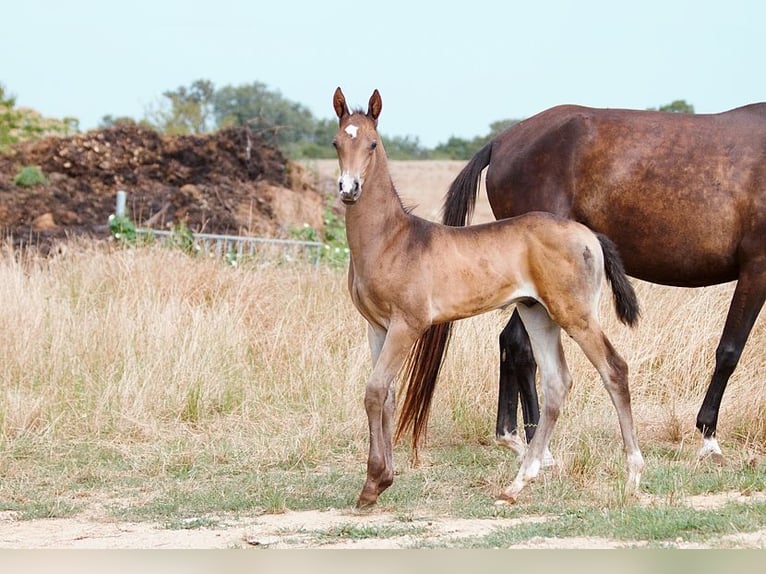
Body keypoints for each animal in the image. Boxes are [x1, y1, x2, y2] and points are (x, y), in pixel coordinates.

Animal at [332, 88, 644, 510]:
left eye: (372, 144)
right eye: (337, 142)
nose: (349, 189)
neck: (391, 239)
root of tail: (589, 235)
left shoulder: (407, 324)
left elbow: (375, 390)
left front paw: (373, 483)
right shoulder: (377, 326)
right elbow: (387, 395)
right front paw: (380, 479)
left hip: (575, 314)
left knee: (614, 369)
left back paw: (633, 476)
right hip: (537, 314)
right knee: (557, 382)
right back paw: (517, 483)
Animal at [438, 101, 766, 466]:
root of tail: (502, 141)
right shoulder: (757, 267)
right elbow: (729, 351)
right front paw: (709, 439)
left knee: (511, 343)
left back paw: (515, 438)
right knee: (520, 346)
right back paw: (539, 446)